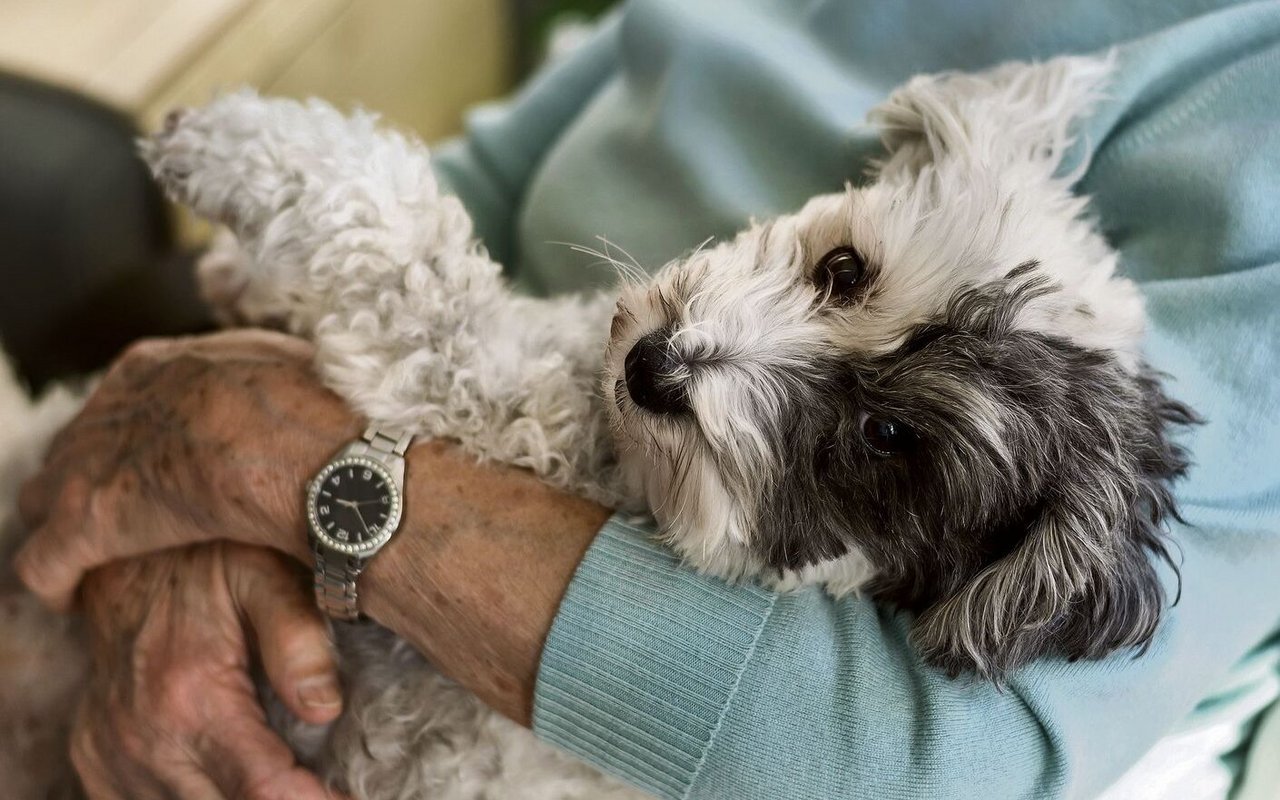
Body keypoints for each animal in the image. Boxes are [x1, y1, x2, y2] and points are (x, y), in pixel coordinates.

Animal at [5, 56, 1192, 798]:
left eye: (885, 442)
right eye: (845, 269)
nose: (653, 366)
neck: (615, 449)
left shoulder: (472, 380)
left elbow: (405, 230)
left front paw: (229, 143)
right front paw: (243, 274)